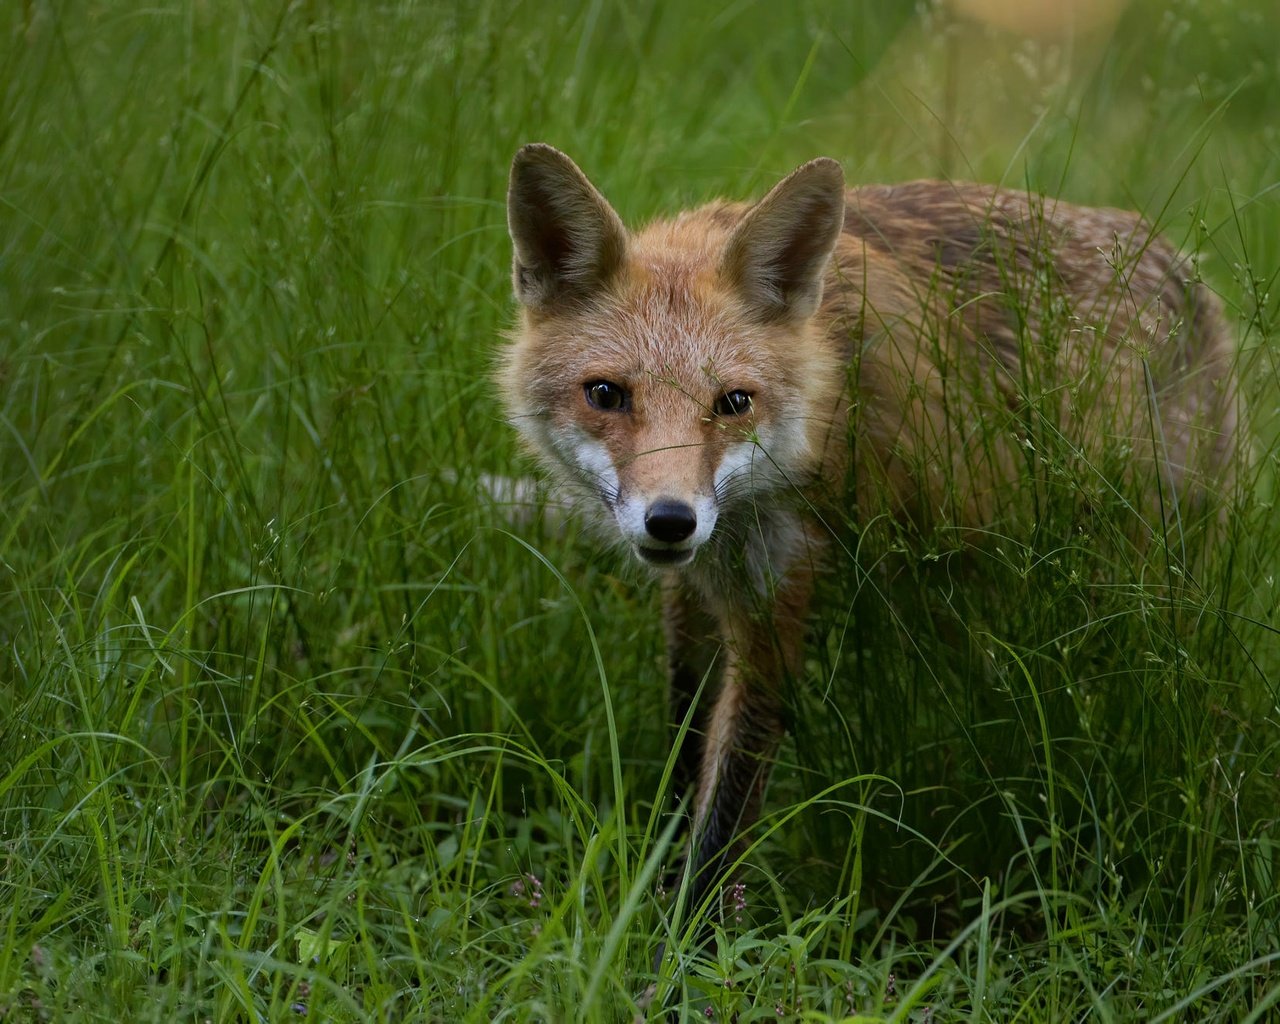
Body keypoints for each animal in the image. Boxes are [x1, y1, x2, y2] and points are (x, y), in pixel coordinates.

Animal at [496, 142, 1239, 926]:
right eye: (606, 394)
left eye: (734, 402)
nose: (671, 519)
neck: (826, 394)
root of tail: (1177, 260)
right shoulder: (695, 592)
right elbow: (683, 751)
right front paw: (653, 881)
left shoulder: (777, 597)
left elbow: (726, 809)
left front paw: (683, 938)